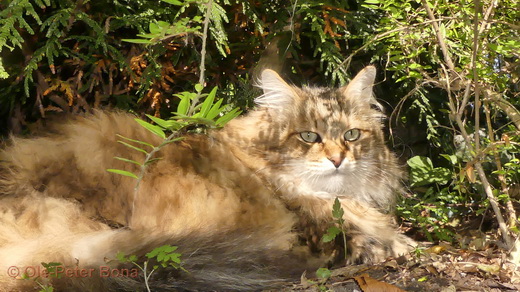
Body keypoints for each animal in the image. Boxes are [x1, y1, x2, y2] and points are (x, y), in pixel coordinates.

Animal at [1, 66, 414, 292]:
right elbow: (375, 242)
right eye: (309, 136)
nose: (338, 159)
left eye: (351, 136)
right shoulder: (319, 230)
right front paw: (397, 244)